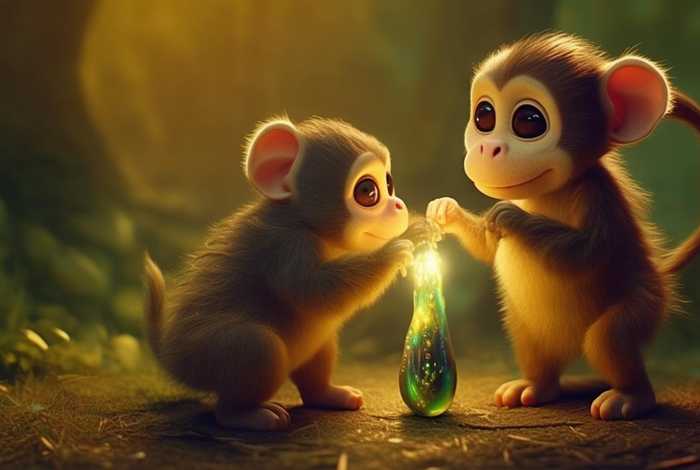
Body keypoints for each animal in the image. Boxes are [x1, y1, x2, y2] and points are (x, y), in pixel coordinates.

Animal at [144, 116, 429, 430]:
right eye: (368, 191)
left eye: (389, 183)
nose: (399, 205)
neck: (305, 223)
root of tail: (171, 356)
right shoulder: (286, 244)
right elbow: (313, 290)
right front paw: (398, 246)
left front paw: (419, 225)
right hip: (211, 354)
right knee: (256, 350)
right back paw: (246, 415)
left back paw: (329, 395)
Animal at [427, 32, 700, 420]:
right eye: (484, 115)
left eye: (528, 121)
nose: (487, 148)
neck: (549, 192)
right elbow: (488, 246)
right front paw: (446, 210)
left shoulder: (598, 197)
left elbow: (587, 253)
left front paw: (511, 217)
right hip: (532, 330)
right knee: (532, 345)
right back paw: (536, 387)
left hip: (645, 305)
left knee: (608, 337)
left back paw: (631, 397)